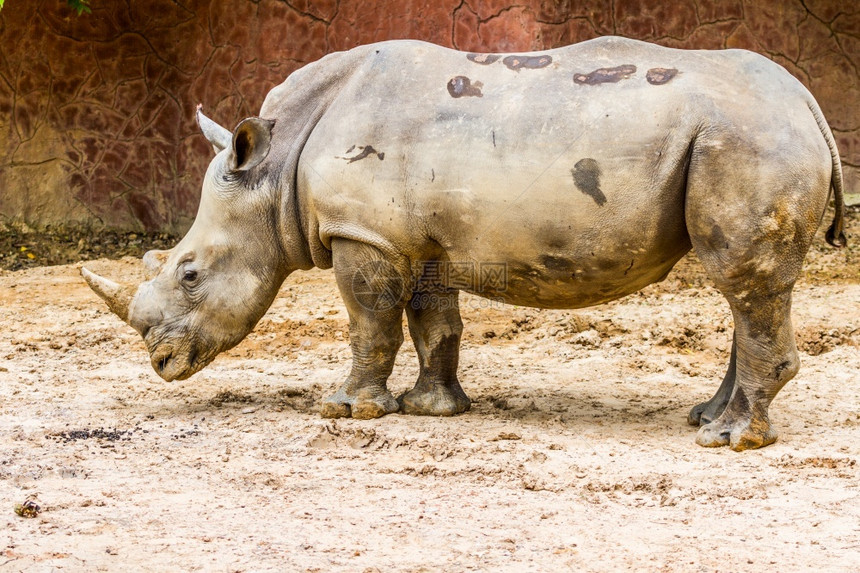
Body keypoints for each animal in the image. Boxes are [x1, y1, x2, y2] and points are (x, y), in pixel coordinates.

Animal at [82, 39, 848, 452]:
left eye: (189, 273)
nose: (161, 364)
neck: (275, 166)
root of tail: (810, 104)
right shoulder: (417, 239)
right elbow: (435, 323)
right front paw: (433, 409)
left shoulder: (364, 235)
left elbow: (369, 324)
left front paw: (347, 410)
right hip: (743, 135)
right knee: (742, 291)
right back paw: (708, 418)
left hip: (745, 139)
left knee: (745, 283)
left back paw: (729, 441)